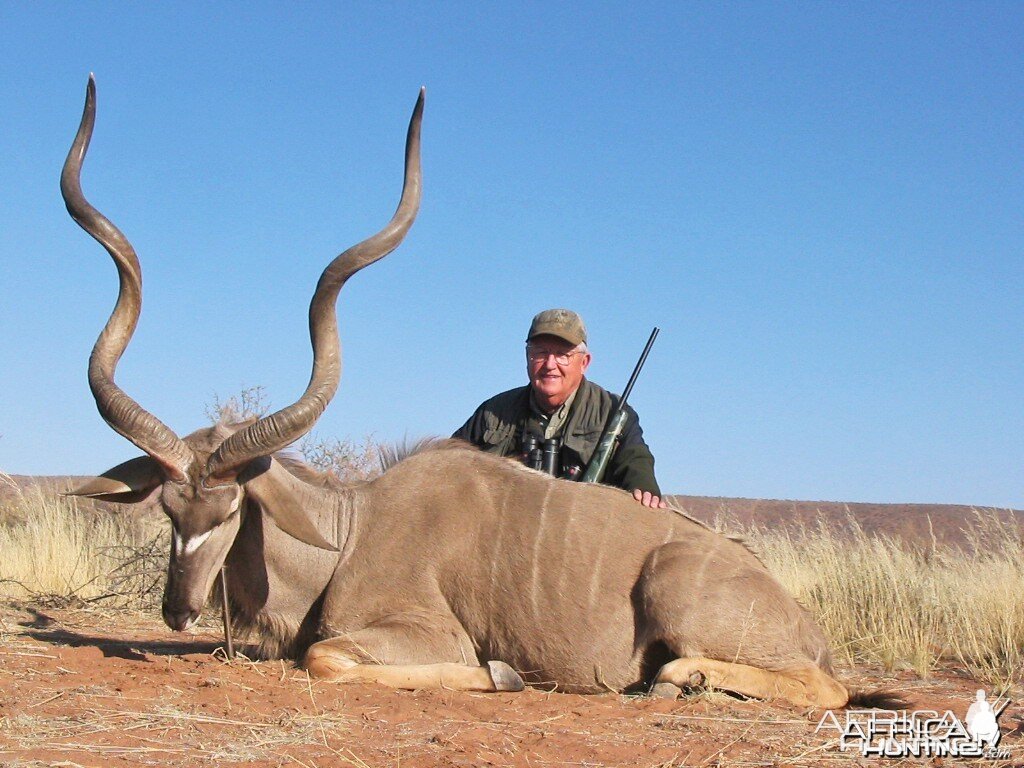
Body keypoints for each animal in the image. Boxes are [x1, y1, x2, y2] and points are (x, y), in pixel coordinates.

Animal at [61, 78, 847, 708]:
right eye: (168, 508)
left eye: (230, 510)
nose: (177, 611)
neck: (348, 532)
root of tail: (802, 621)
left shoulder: (422, 632)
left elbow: (327, 657)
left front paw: (502, 673)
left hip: (679, 597)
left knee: (825, 689)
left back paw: (682, 678)